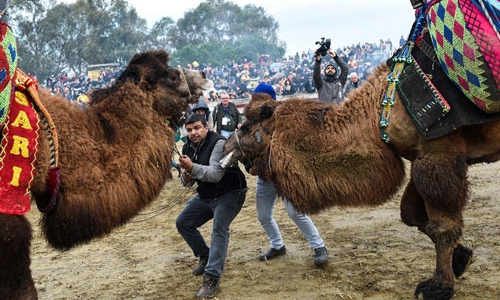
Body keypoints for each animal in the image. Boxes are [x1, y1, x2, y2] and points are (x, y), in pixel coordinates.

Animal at [222, 4, 500, 298]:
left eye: (246, 126)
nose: (225, 145)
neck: (379, 110)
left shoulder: (438, 154)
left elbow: (442, 226)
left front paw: (438, 286)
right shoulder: (419, 157)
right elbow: (411, 215)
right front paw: (461, 257)